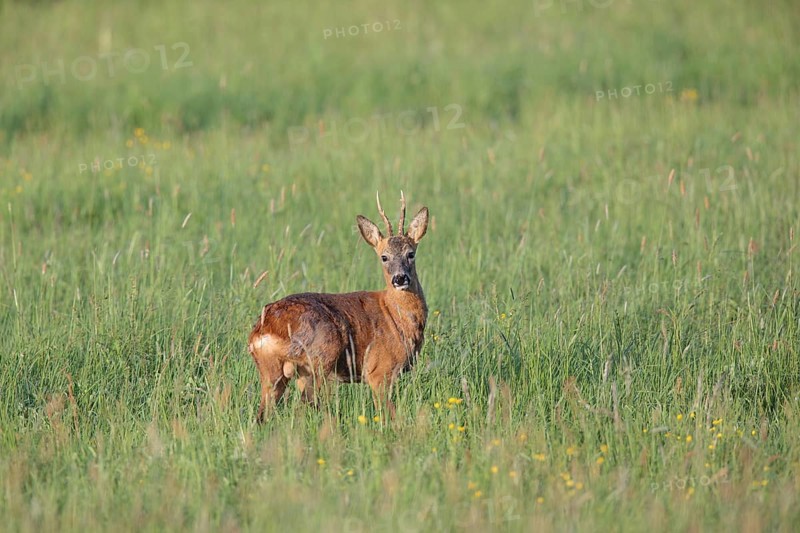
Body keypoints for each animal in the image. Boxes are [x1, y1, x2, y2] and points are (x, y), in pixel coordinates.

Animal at [247, 192, 429, 422]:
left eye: (411, 253)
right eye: (384, 256)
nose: (400, 278)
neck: (395, 317)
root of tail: (264, 329)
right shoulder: (379, 371)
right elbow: (388, 412)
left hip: (272, 371)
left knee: (263, 414)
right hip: (318, 362)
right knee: (303, 408)